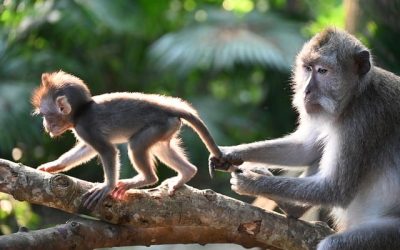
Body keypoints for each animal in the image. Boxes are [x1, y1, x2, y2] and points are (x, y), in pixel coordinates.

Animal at [31, 70, 225, 209]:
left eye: (46, 115)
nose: (45, 125)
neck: (80, 112)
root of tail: (167, 107)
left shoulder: (85, 128)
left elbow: (108, 150)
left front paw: (107, 186)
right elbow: (88, 149)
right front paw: (54, 165)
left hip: (158, 126)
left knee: (137, 145)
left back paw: (146, 178)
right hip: (168, 126)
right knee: (161, 148)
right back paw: (186, 173)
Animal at [209, 27, 400, 250]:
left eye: (323, 71)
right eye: (308, 68)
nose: (306, 90)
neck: (355, 97)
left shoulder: (363, 121)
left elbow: (335, 189)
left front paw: (253, 182)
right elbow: (305, 149)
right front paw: (230, 153)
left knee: (334, 242)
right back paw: (292, 208)